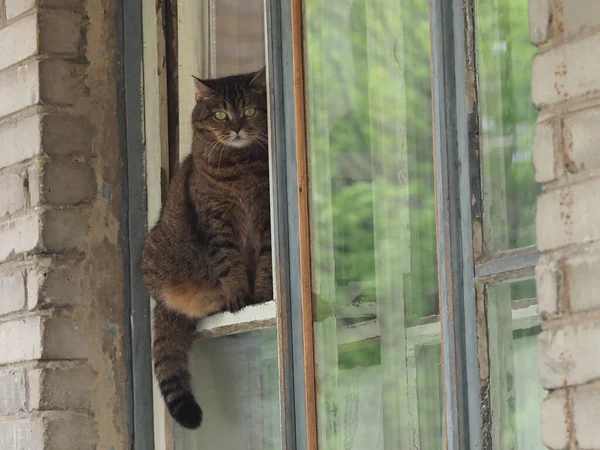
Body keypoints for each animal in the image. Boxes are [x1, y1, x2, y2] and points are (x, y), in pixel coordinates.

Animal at [141, 67, 272, 428]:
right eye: (220, 115)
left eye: (250, 111)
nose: (237, 127)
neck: (240, 166)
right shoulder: (216, 222)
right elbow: (228, 264)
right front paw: (239, 294)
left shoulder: (266, 220)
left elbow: (266, 263)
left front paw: (261, 294)